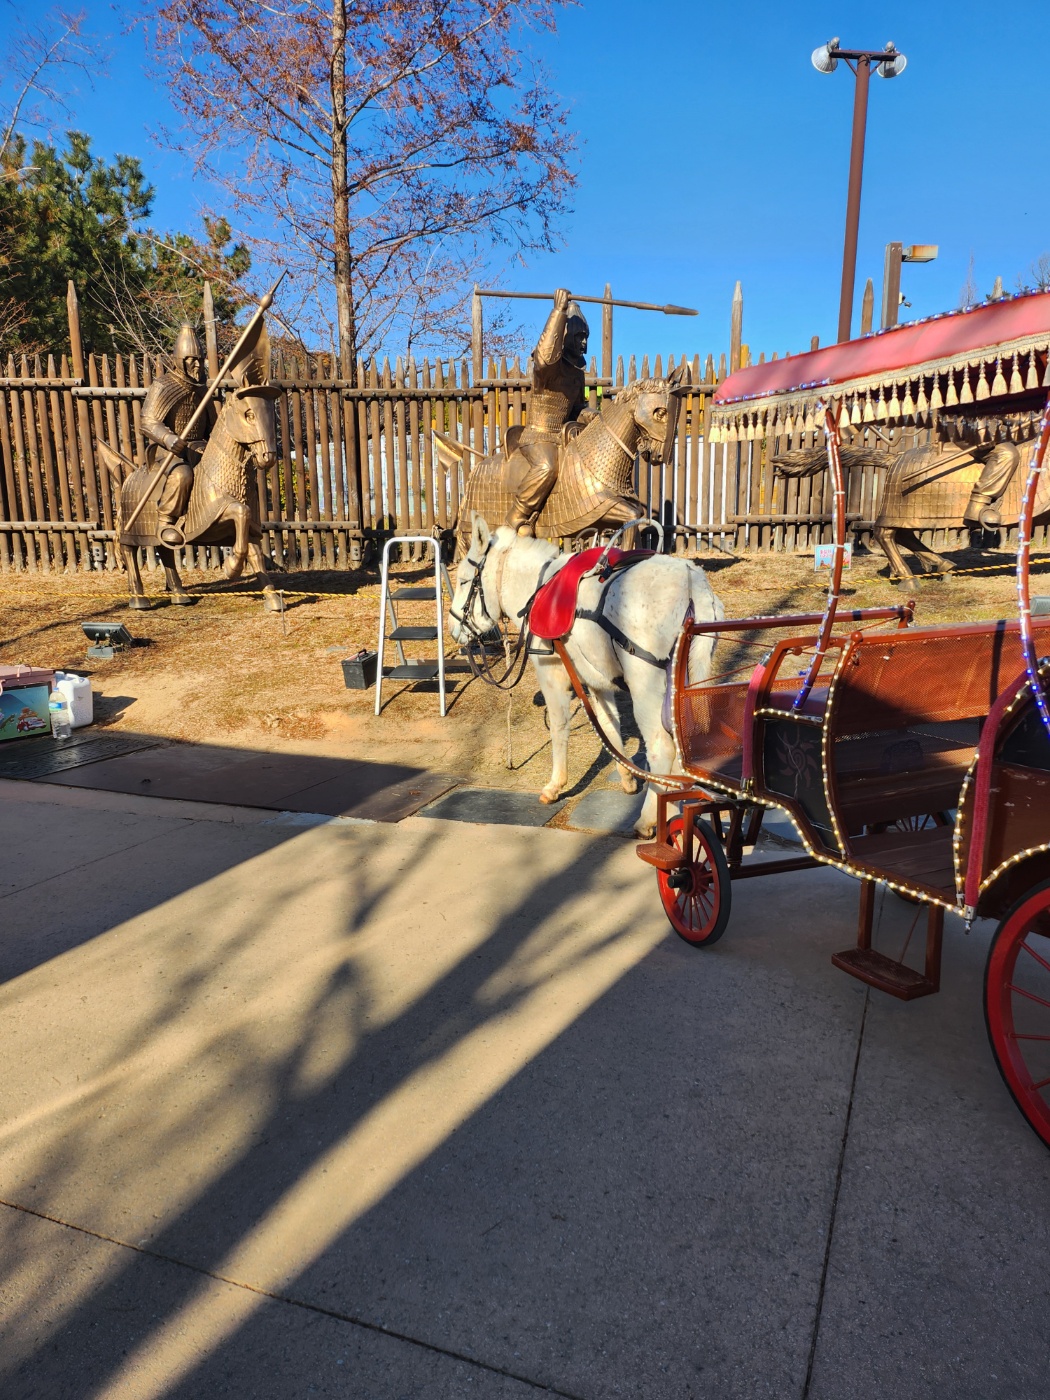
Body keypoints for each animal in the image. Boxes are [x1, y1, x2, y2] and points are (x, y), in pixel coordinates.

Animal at [453, 520, 722, 834]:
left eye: (463, 581)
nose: (454, 630)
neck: (537, 589)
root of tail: (692, 579)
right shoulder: (598, 682)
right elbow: (609, 726)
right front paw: (627, 778)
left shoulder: (551, 672)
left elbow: (559, 727)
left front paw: (555, 785)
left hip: (646, 685)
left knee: (661, 746)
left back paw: (647, 818)